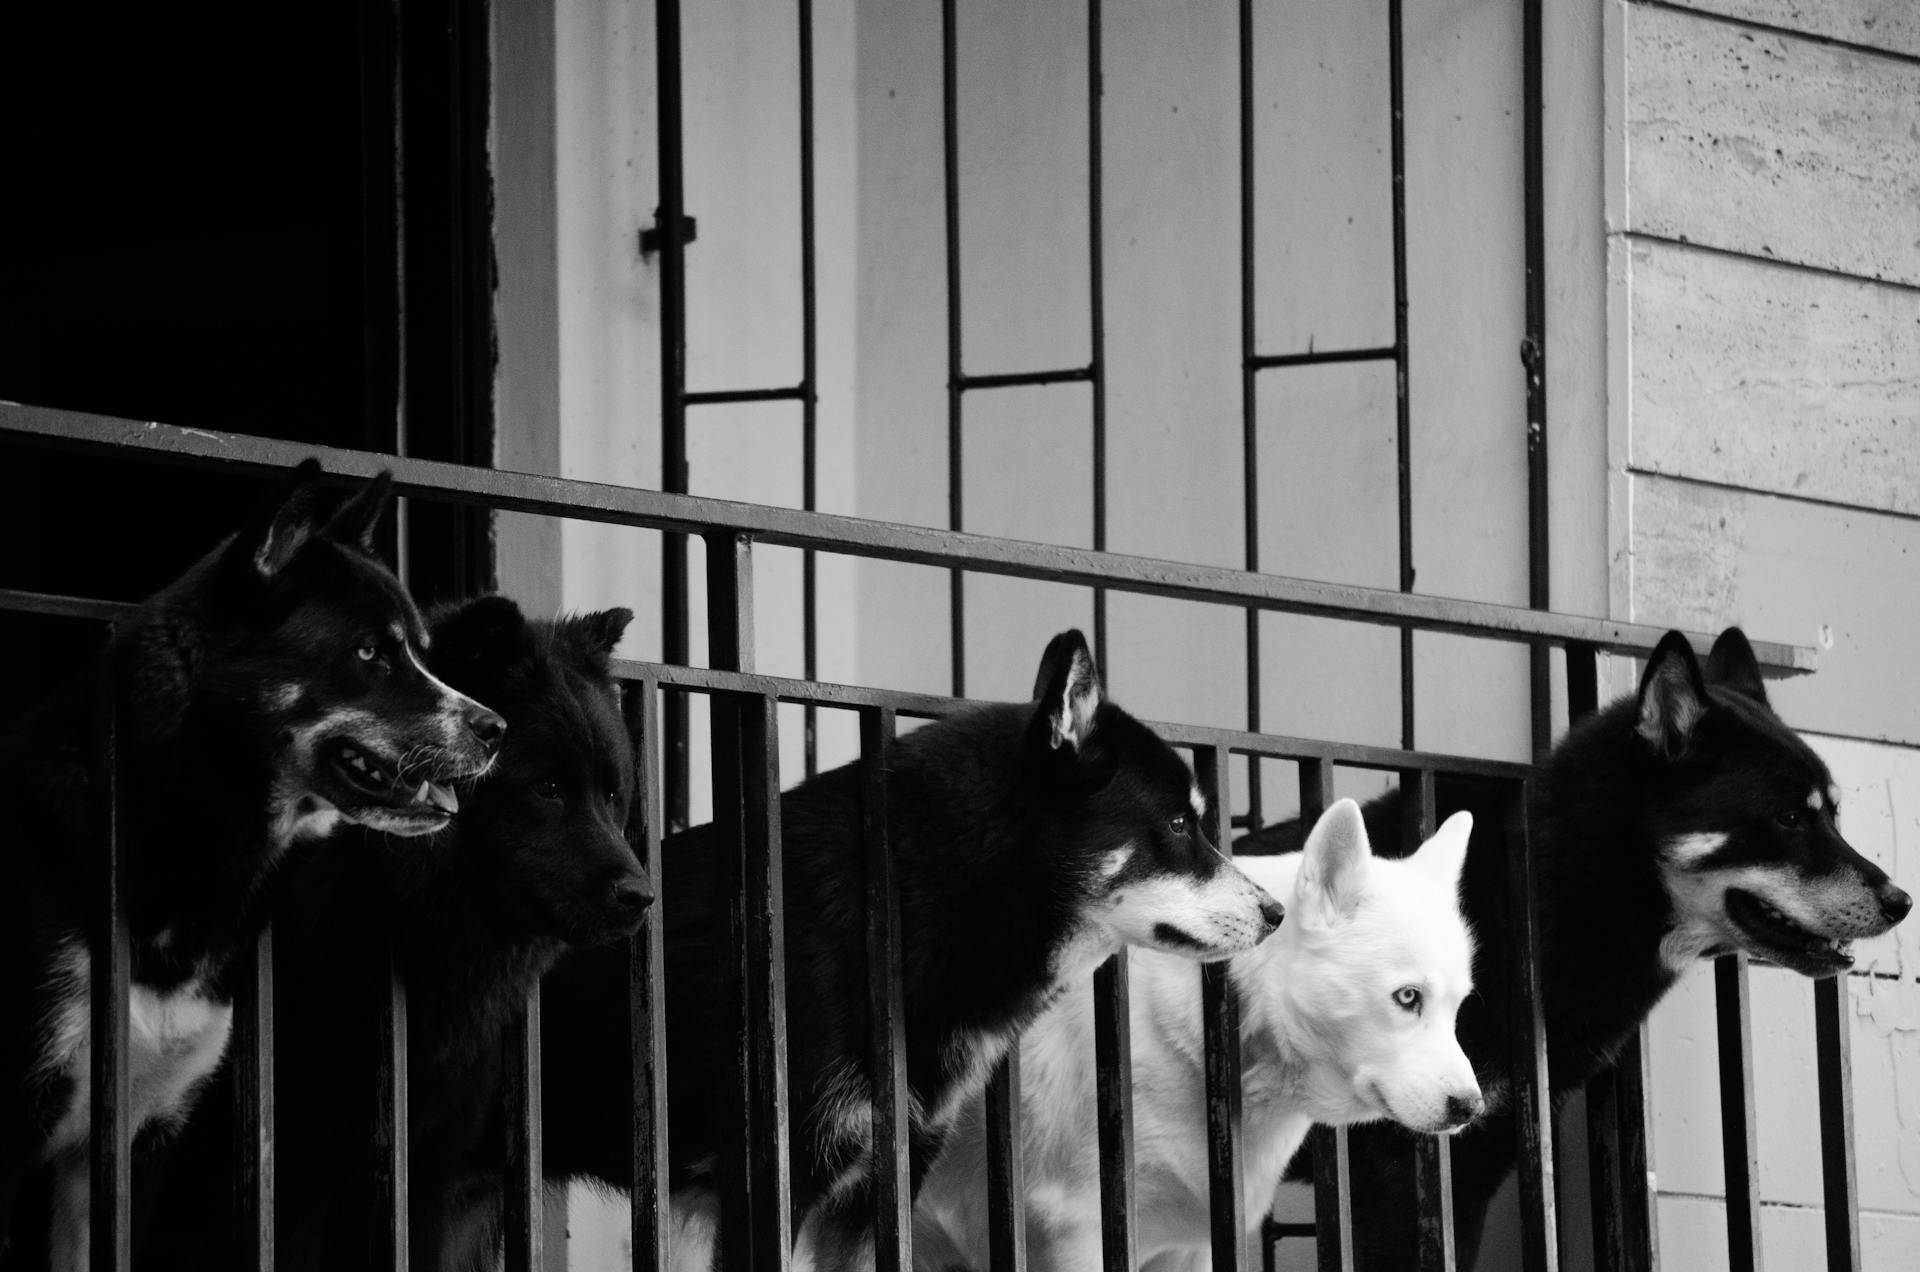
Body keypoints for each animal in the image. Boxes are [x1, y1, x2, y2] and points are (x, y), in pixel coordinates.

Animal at [1244, 630, 1904, 1272]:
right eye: (1790, 817)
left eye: (1833, 814)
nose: (1902, 902)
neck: (1543, 892)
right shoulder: (1402, 1171)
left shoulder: (1472, 1162)